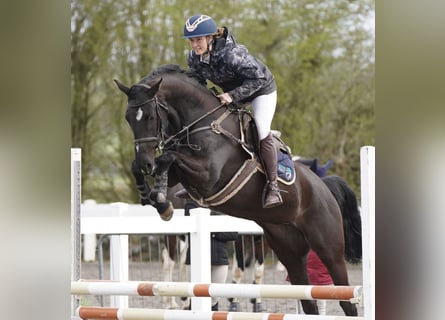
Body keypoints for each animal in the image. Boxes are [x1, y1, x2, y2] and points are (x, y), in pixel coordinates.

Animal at [115, 64, 360, 316]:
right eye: (128, 118)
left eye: (150, 116)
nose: (146, 163)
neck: (203, 122)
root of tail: (324, 187)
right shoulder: (180, 174)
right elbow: (158, 162)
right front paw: (153, 197)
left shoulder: (208, 175)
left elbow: (168, 156)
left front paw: (161, 200)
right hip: (289, 250)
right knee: (308, 299)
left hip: (328, 248)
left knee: (346, 299)